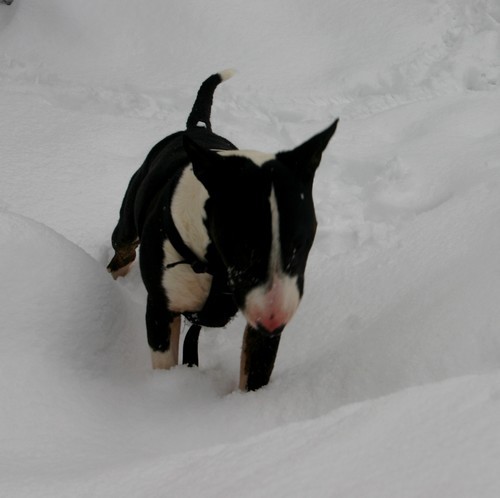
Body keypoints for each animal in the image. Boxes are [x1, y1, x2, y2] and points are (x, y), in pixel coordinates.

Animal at [107, 70, 338, 392]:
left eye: (300, 244)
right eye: (244, 245)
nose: (274, 320)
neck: (215, 262)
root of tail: (196, 127)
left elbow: (255, 372)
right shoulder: (161, 310)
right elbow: (165, 362)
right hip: (128, 221)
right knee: (122, 251)